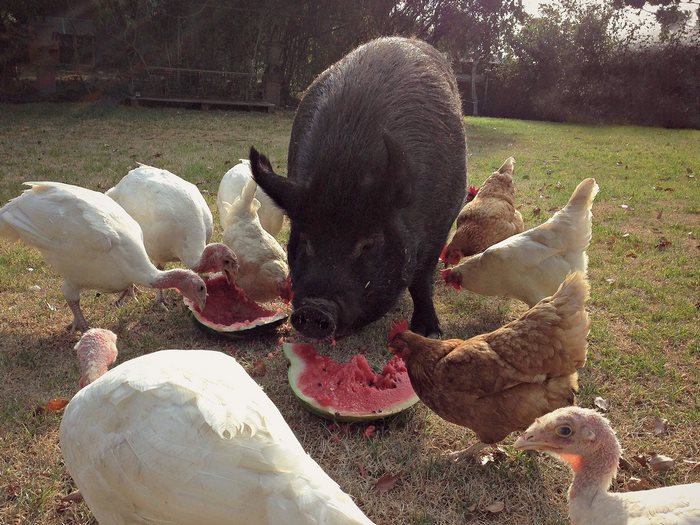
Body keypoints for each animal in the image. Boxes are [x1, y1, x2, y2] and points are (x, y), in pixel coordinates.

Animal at [250, 36, 467, 339]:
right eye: (305, 239)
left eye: (369, 242)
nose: (315, 309)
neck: (344, 171)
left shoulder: (444, 216)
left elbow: (421, 277)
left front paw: (429, 332)